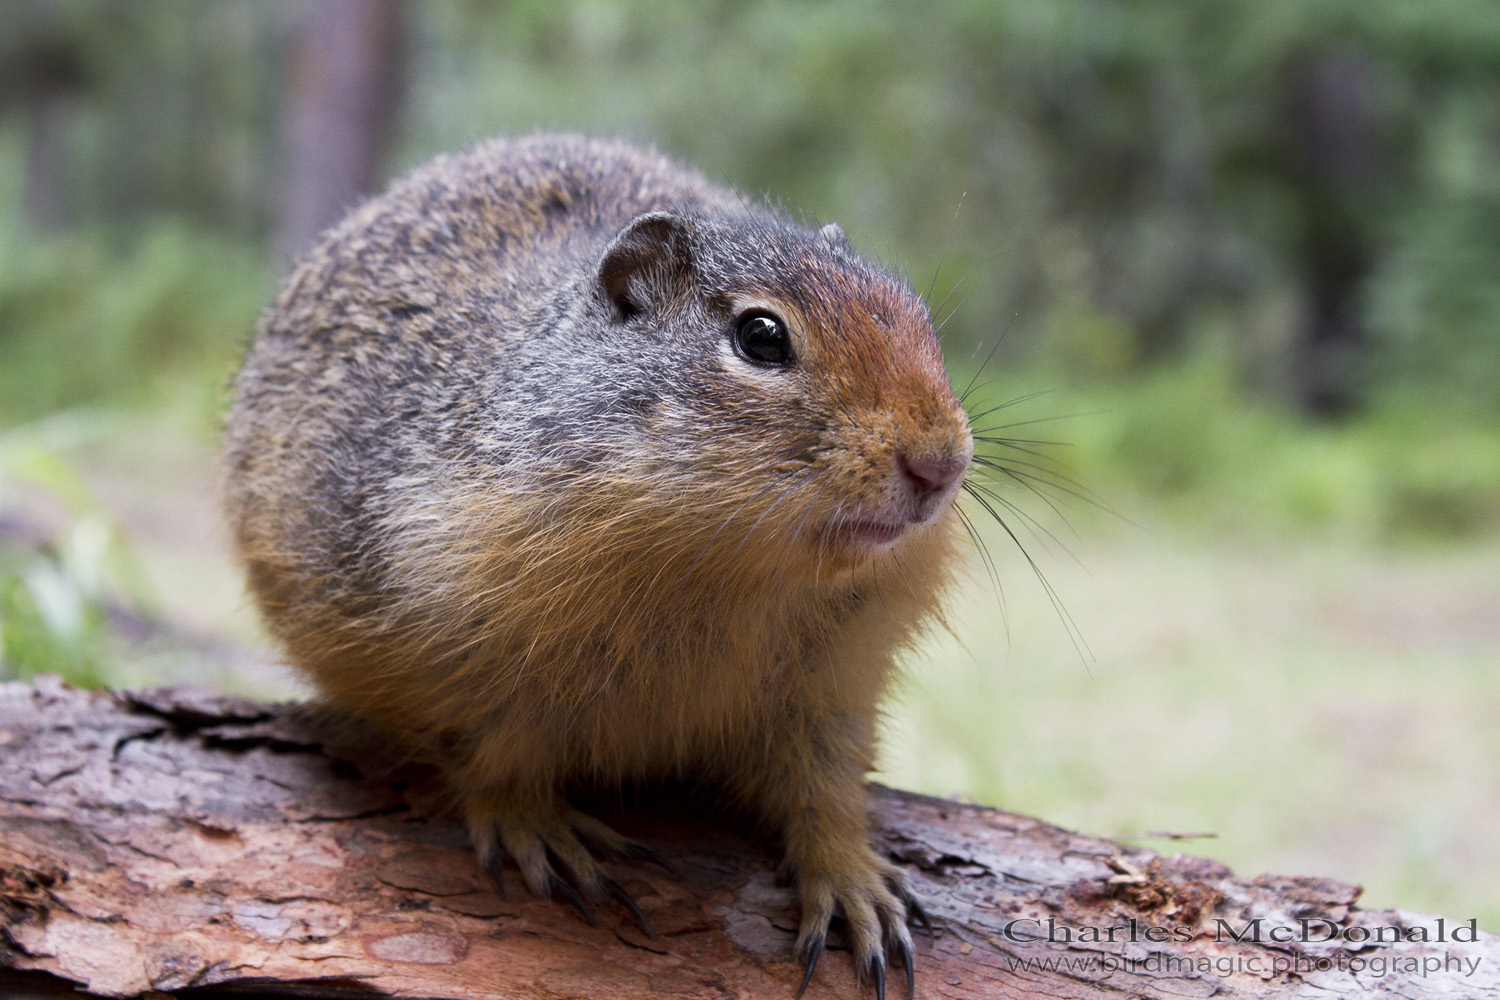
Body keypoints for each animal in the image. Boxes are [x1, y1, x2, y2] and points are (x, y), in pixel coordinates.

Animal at [222, 134, 972, 1000]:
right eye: (761, 337)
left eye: (917, 312)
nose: (941, 464)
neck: (728, 572)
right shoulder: (443, 647)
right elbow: (488, 754)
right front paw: (542, 832)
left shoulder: (827, 688)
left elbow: (826, 789)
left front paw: (855, 882)